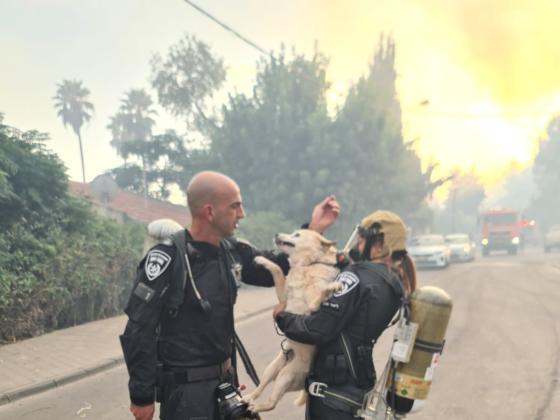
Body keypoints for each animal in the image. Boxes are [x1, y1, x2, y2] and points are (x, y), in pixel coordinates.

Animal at [245, 228, 342, 412]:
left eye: (297, 235)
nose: (276, 234)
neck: (306, 266)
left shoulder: (311, 312)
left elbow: (318, 297)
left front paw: (330, 288)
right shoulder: (284, 297)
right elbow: (277, 269)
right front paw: (262, 260)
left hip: (285, 375)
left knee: (272, 403)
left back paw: (254, 407)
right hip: (272, 368)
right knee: (260, 387)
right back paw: (248, 398)